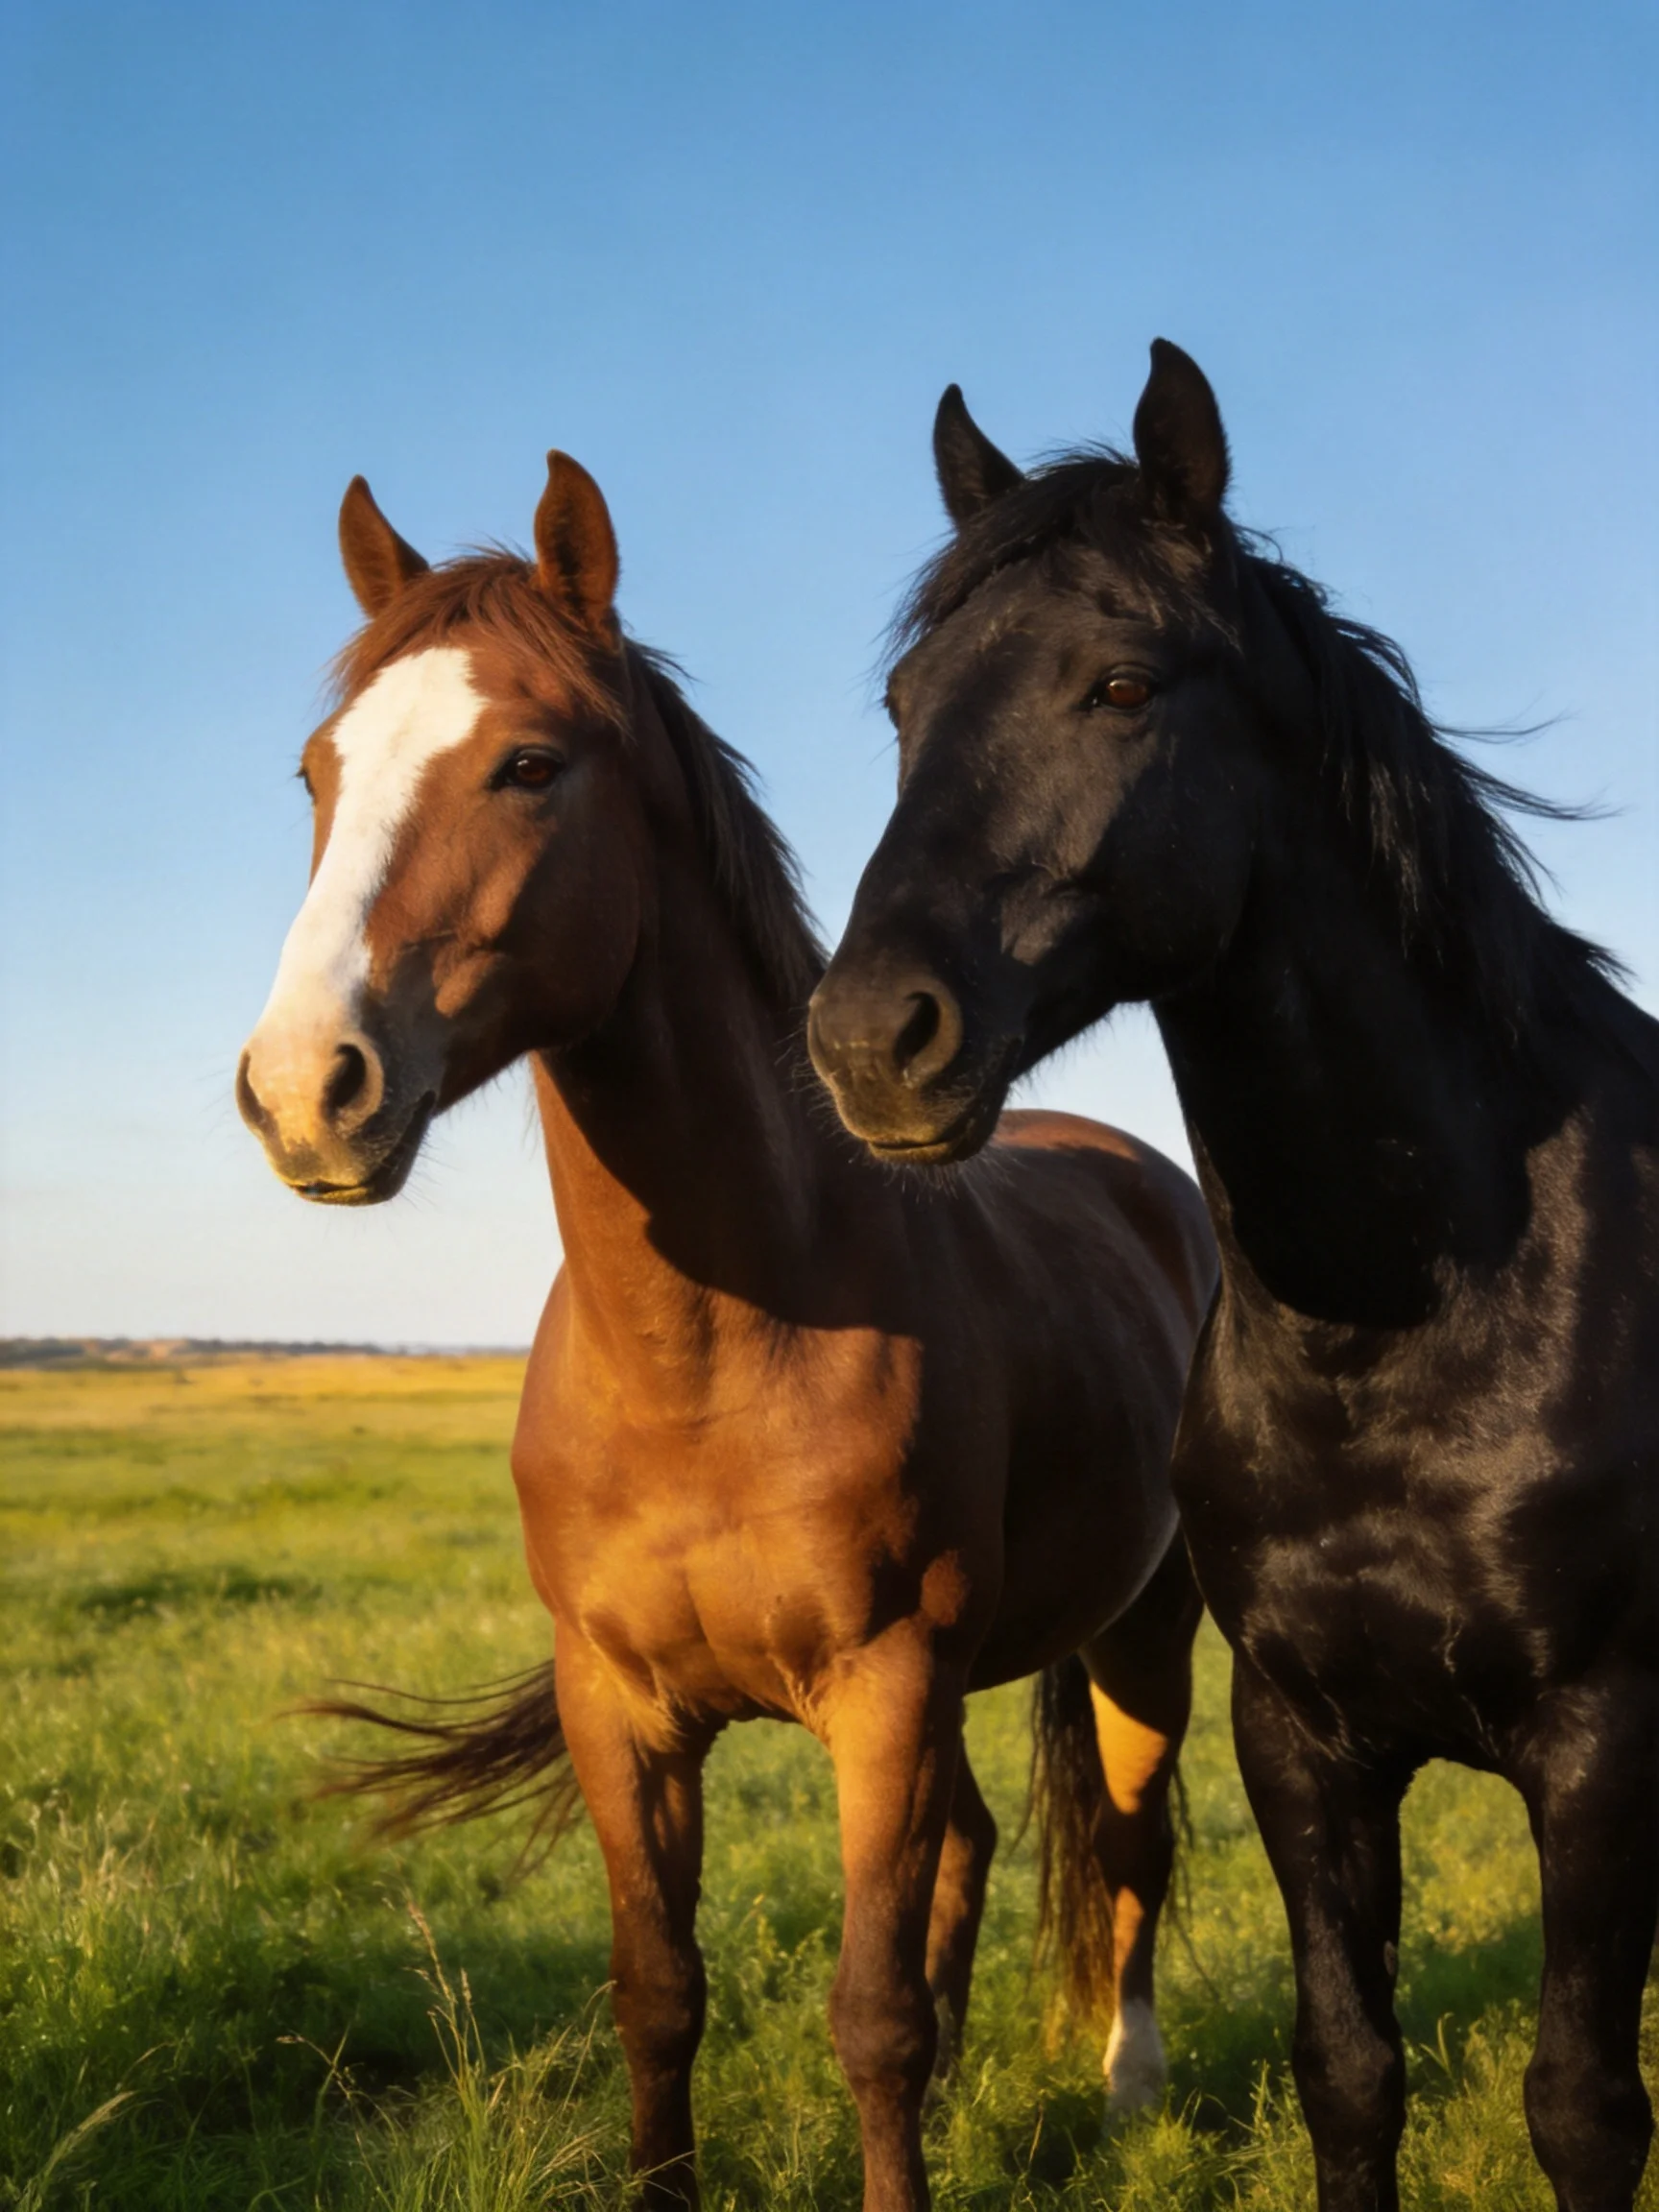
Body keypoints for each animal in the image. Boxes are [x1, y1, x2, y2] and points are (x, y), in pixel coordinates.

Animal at [235, 449, 1218, 2211]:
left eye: (529, 763)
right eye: (317, 772)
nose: (302, 1087)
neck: (716, 1351)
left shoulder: (887, 1689)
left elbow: (870, 2014)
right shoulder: (622, 1709)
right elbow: (659, 1992)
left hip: (1142, 1630)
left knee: (1127, 1840)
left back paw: (1126, 2088)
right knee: (983, 1844)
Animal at [808, 341, 1659, 2212]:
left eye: (1123, 681)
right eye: (901, 704)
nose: (868, 1041)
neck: (1414, 1323)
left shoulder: (1600, 1741)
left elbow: (1582, 2103)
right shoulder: (1300, 1737)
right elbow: (1348, 2070)